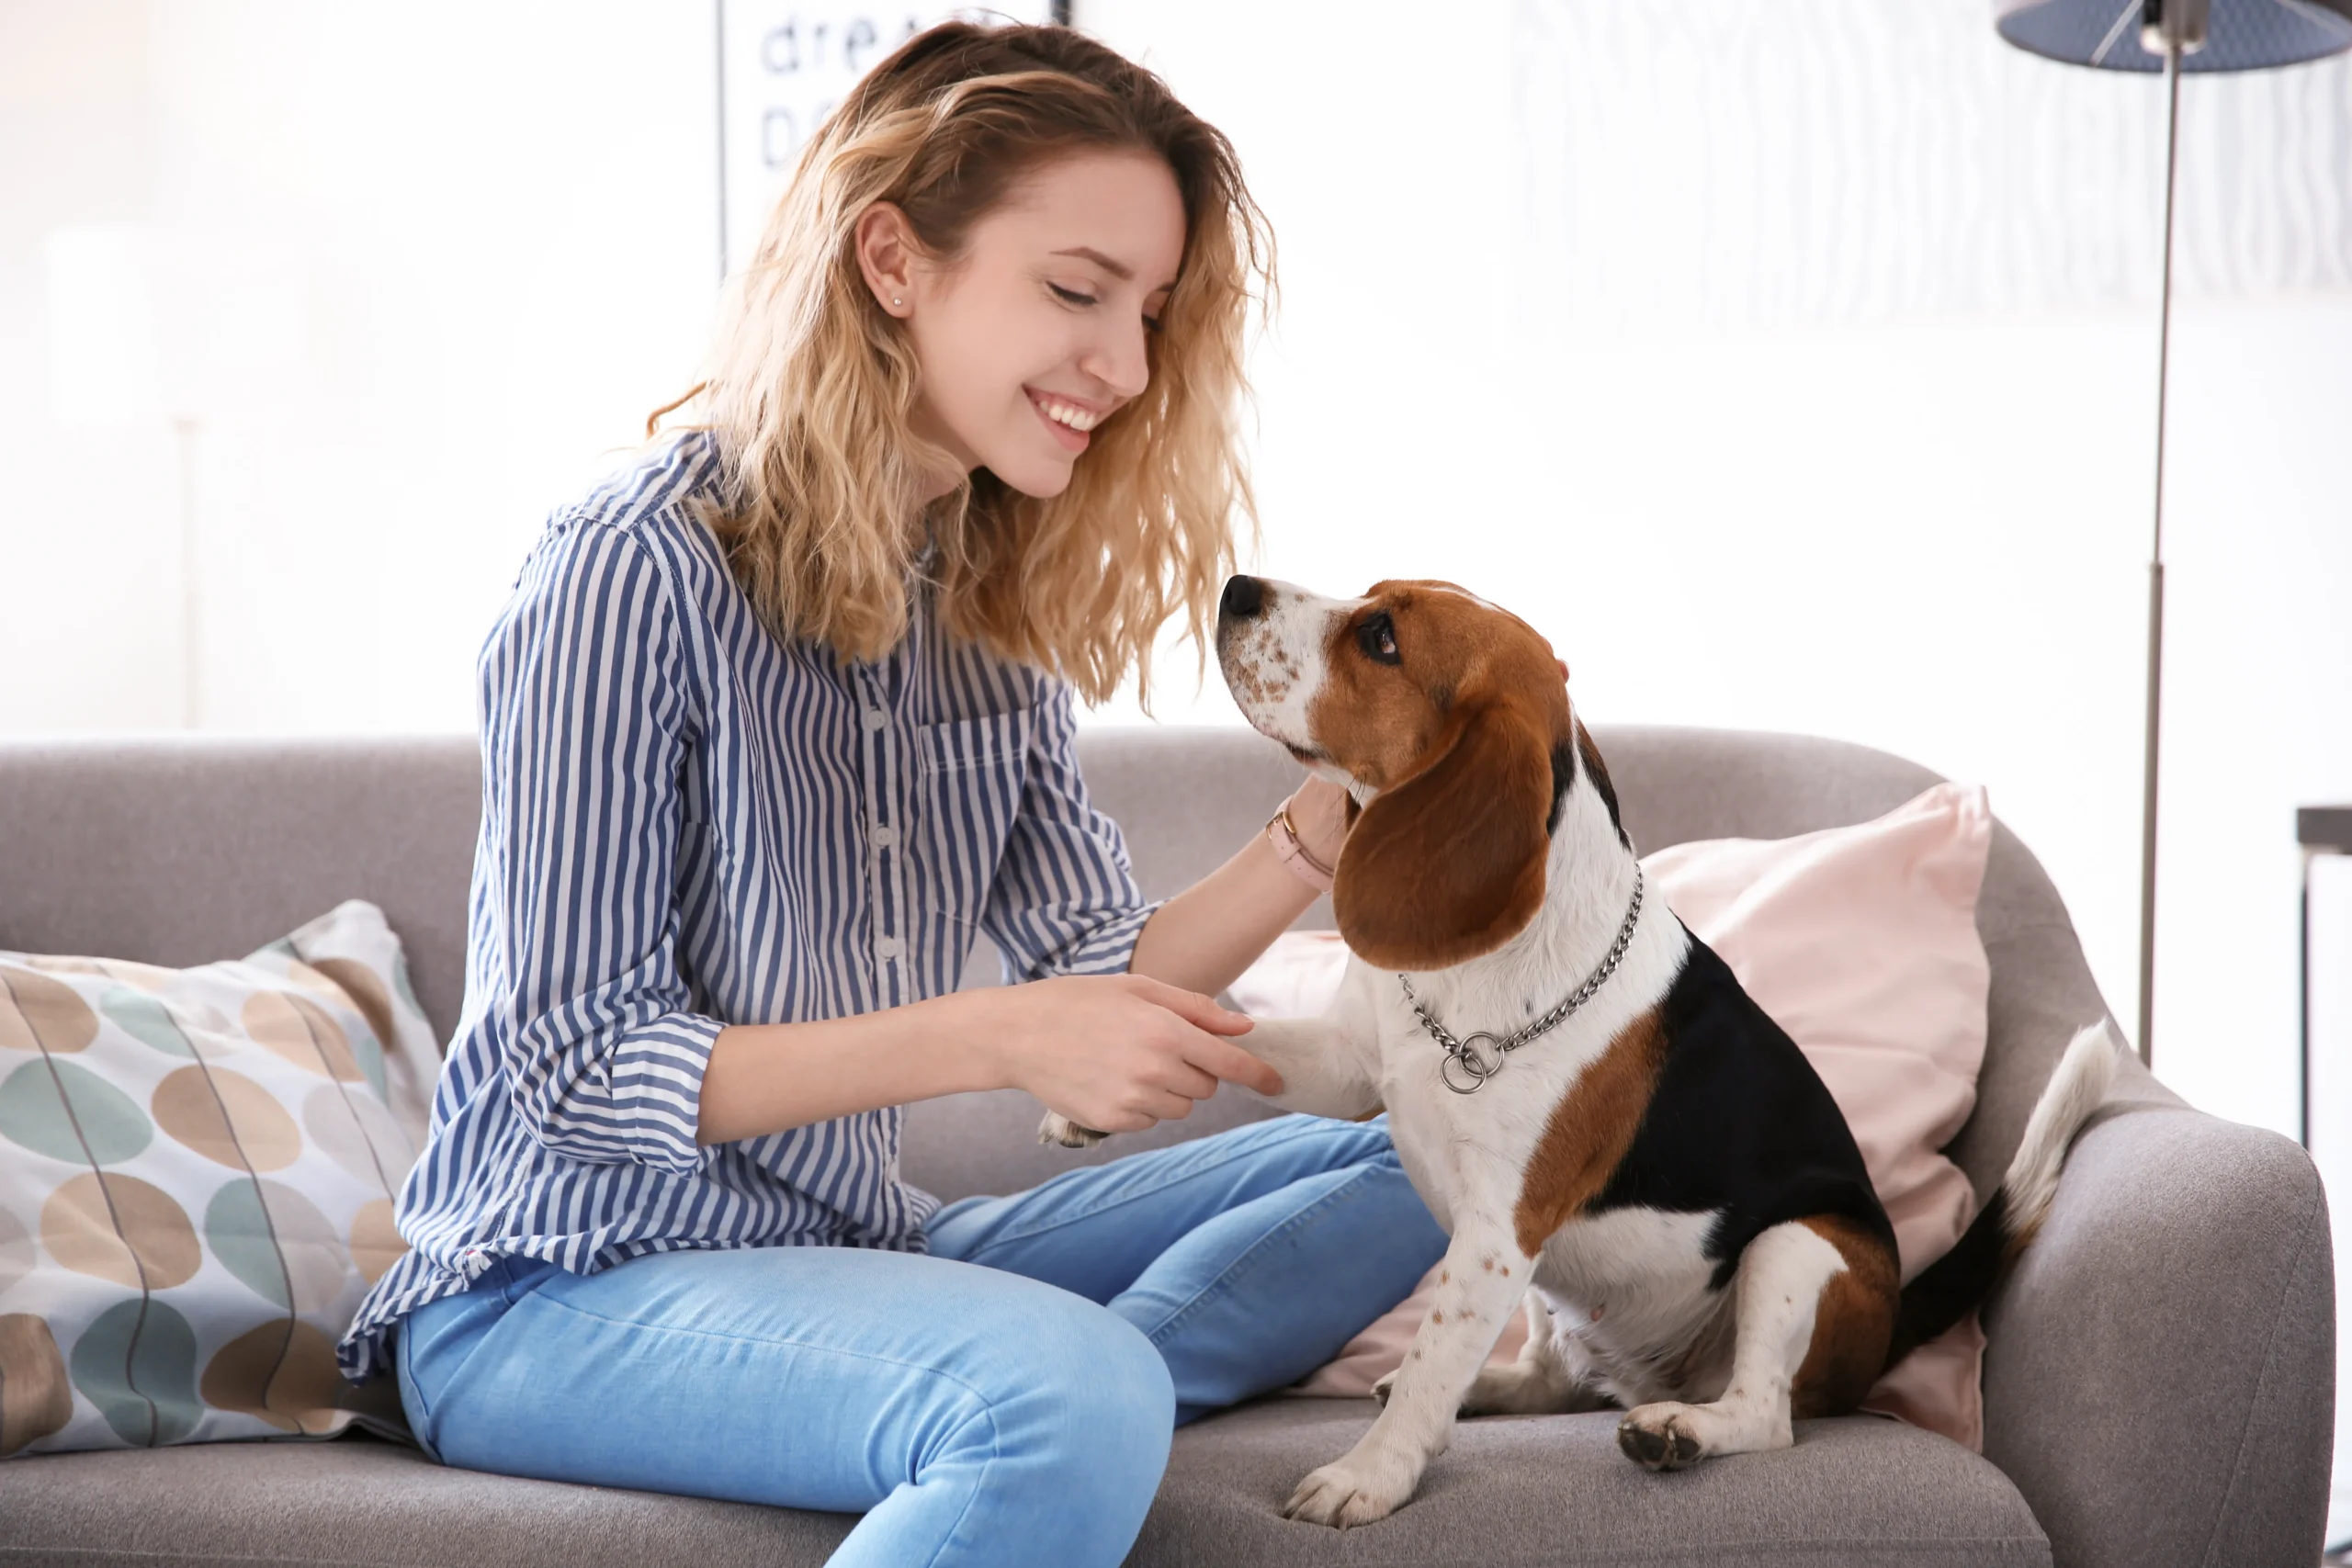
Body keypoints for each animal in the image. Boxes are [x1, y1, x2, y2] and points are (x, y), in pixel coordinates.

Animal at [1063, 576, 2117, 1532]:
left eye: (1381, 638)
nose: (1236, 587)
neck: (1476, 977)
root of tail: (1893, 1316)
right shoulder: (1351, 1066)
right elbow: (1240, 1043)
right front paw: (1092, 1072)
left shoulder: (1497, 1235)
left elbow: (1433, 1360)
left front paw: (1367, 1477)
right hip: (1569, 1292)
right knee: (1554, 1378)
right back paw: (1503, 1390)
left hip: (1798, 1247)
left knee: (1765, 1414)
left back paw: (1680, 1429)